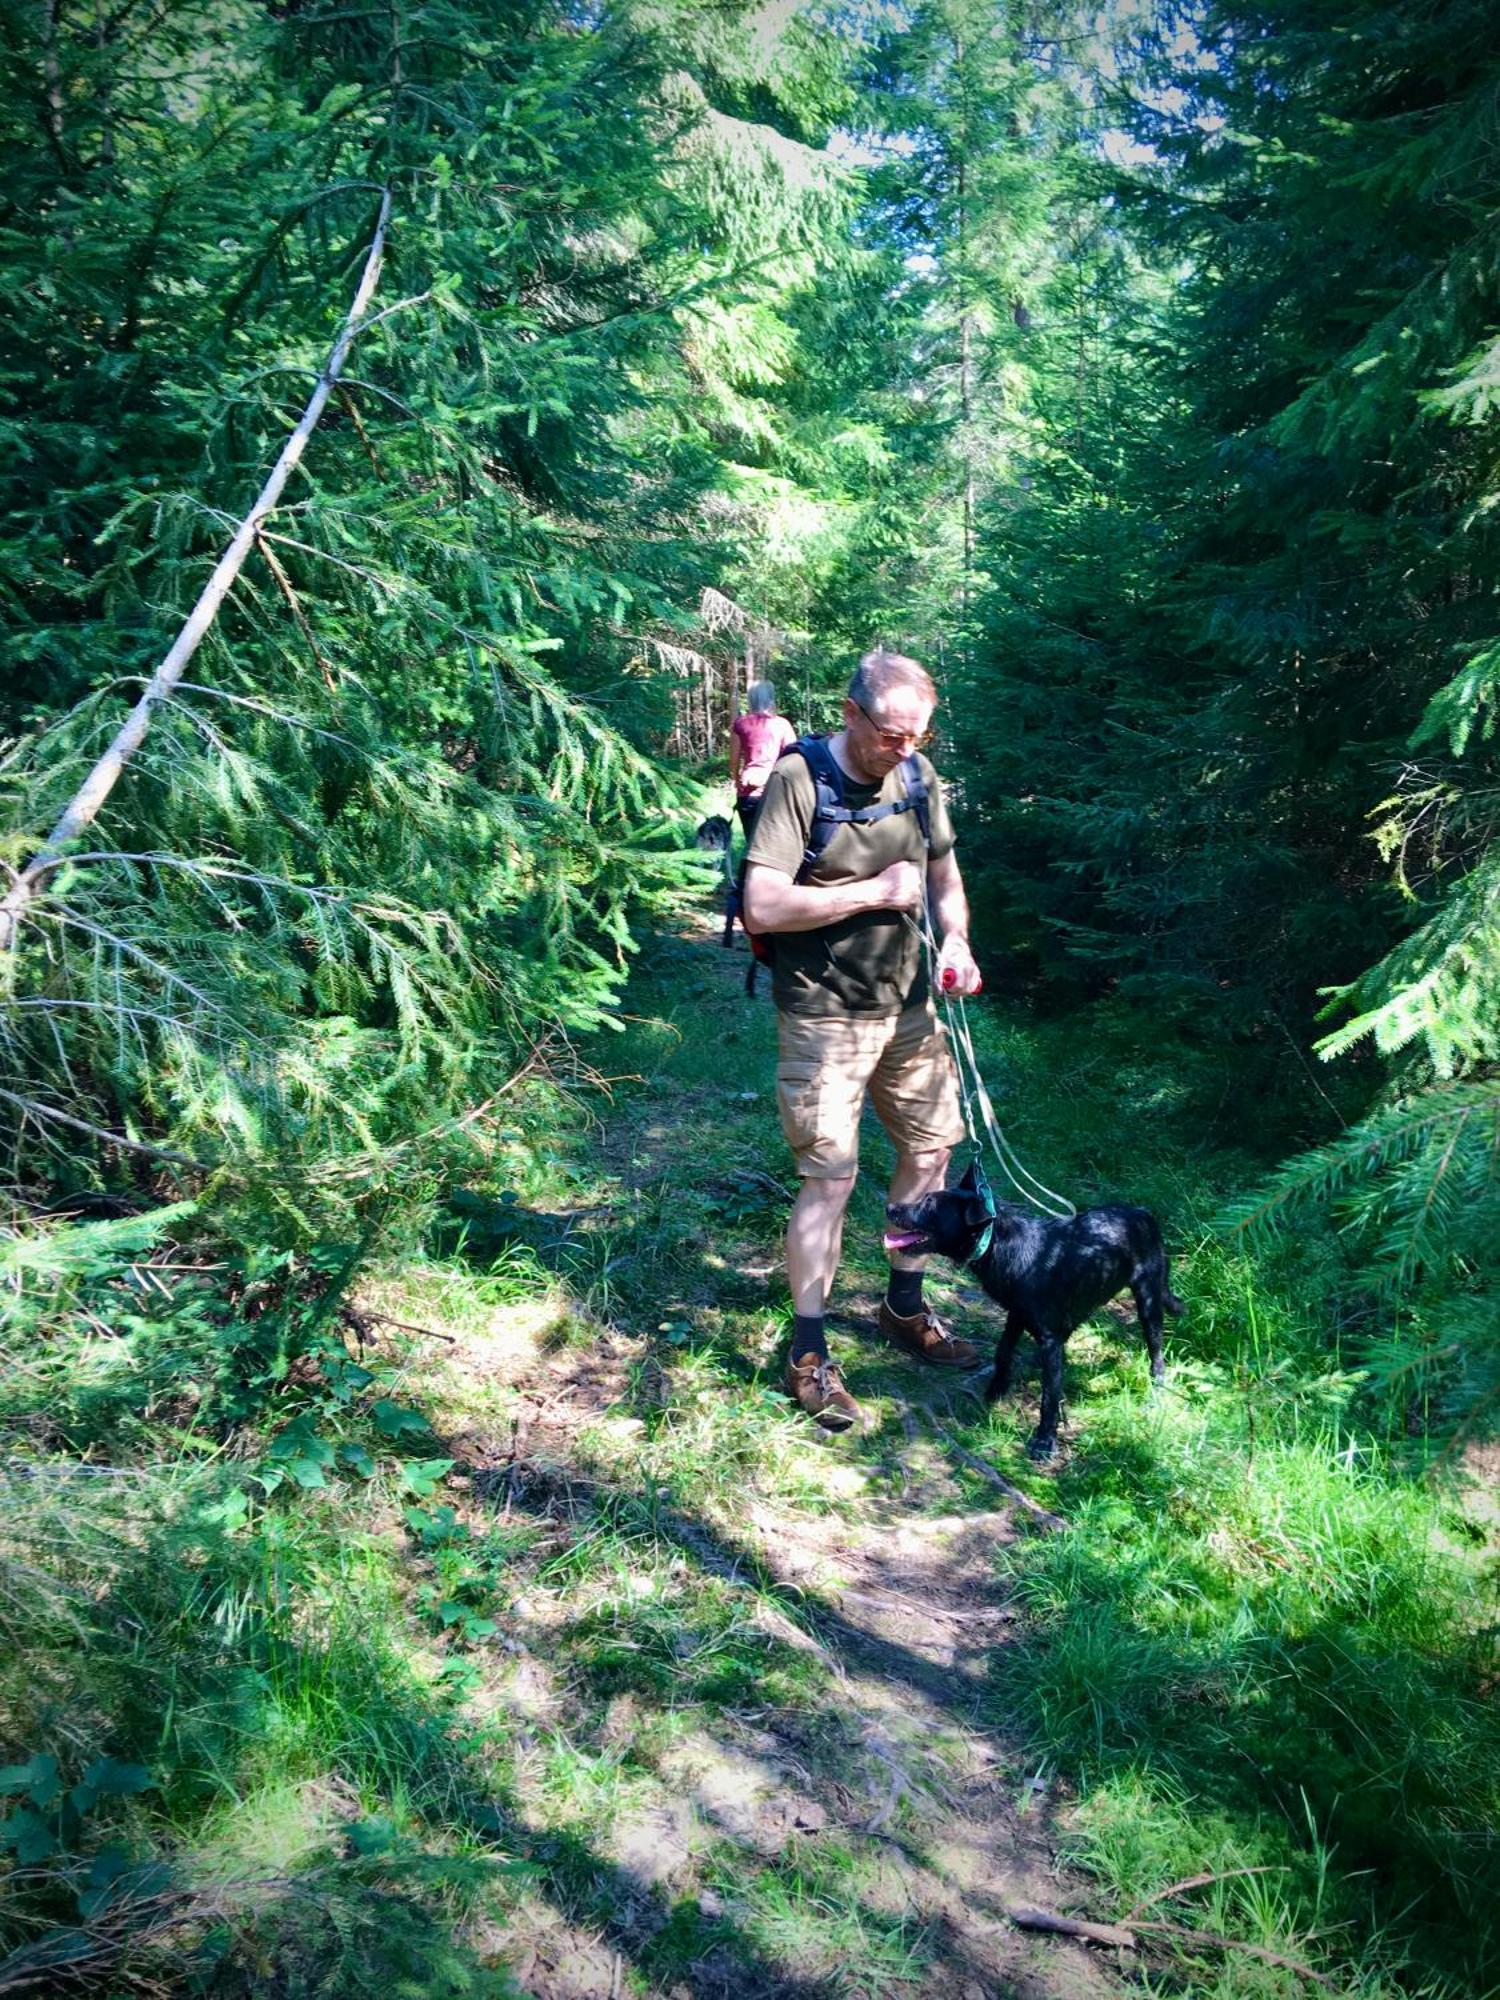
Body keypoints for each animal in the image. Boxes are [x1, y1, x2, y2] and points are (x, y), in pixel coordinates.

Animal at [880, 1176, 1184, 1464]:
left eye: (929, 1204)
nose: (890, 1207)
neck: (997, 1244)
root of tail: (1143, 1212)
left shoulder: (1048, 1337)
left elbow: (1049, 1396)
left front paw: (1044, 1441)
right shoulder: (1017, 1315)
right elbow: (1003, 1353)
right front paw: (994, 1392)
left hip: (1148, 1301)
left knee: (1156, 1351)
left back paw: (1157, 1387)